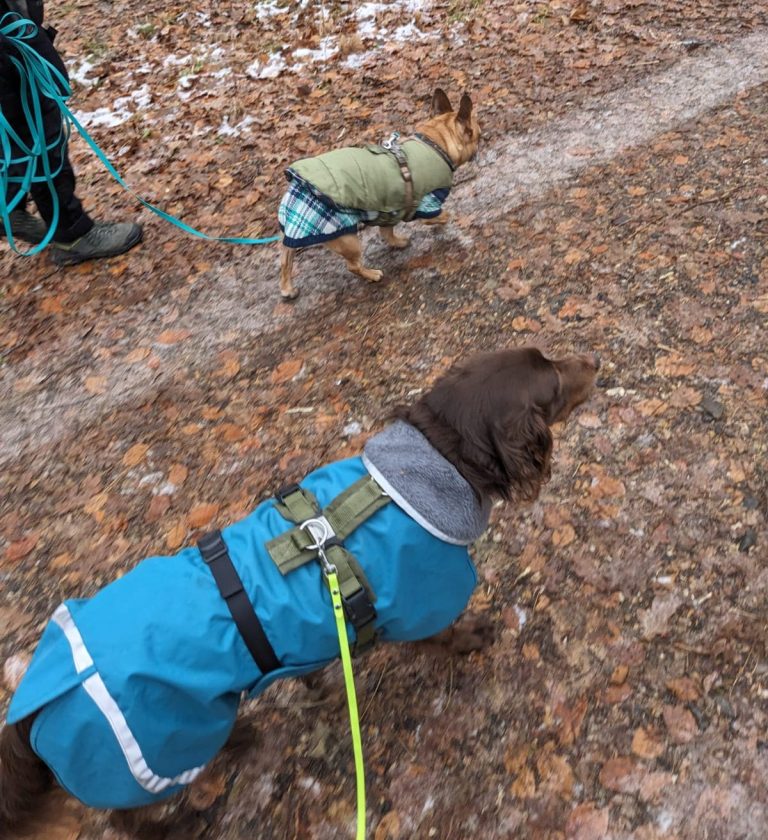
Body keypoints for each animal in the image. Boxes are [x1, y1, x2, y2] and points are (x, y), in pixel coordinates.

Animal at [0, 346, 596, 832]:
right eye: (553, 381)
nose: (592, 359)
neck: (437, 462)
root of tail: (29, 708)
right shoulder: (423, 600)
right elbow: (444, 634)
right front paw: (474, 637)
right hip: (150, 747)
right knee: (128, 818)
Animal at [276, 88, 480, 296]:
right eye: (477, 135)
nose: (480, 143)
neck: (436, 144)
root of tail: (296, 189)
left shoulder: (391, 210)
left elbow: (387, 232)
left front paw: (398, 242)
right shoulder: (428, 203)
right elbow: (441, 215)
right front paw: (445, 220)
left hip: (294, 237)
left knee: (285, 260)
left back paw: (287, 288)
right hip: (346, 239)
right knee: (352, 266)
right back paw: (372, 274)